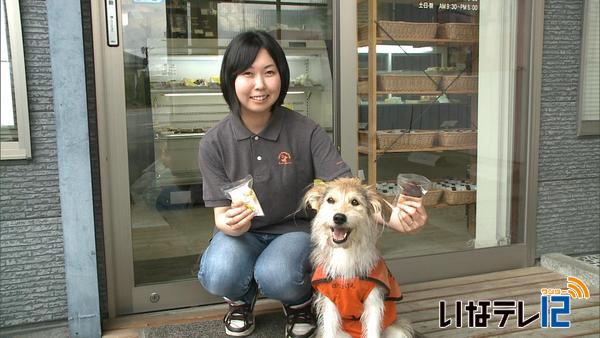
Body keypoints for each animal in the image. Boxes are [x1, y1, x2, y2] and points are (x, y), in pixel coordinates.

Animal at [304, 178, 412, 336]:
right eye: (330, 200)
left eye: (355, 202)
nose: (338, 217)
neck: (345, 252)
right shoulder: (329, 303)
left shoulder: (373, 301)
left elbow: (373, 330)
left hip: (397, 331)